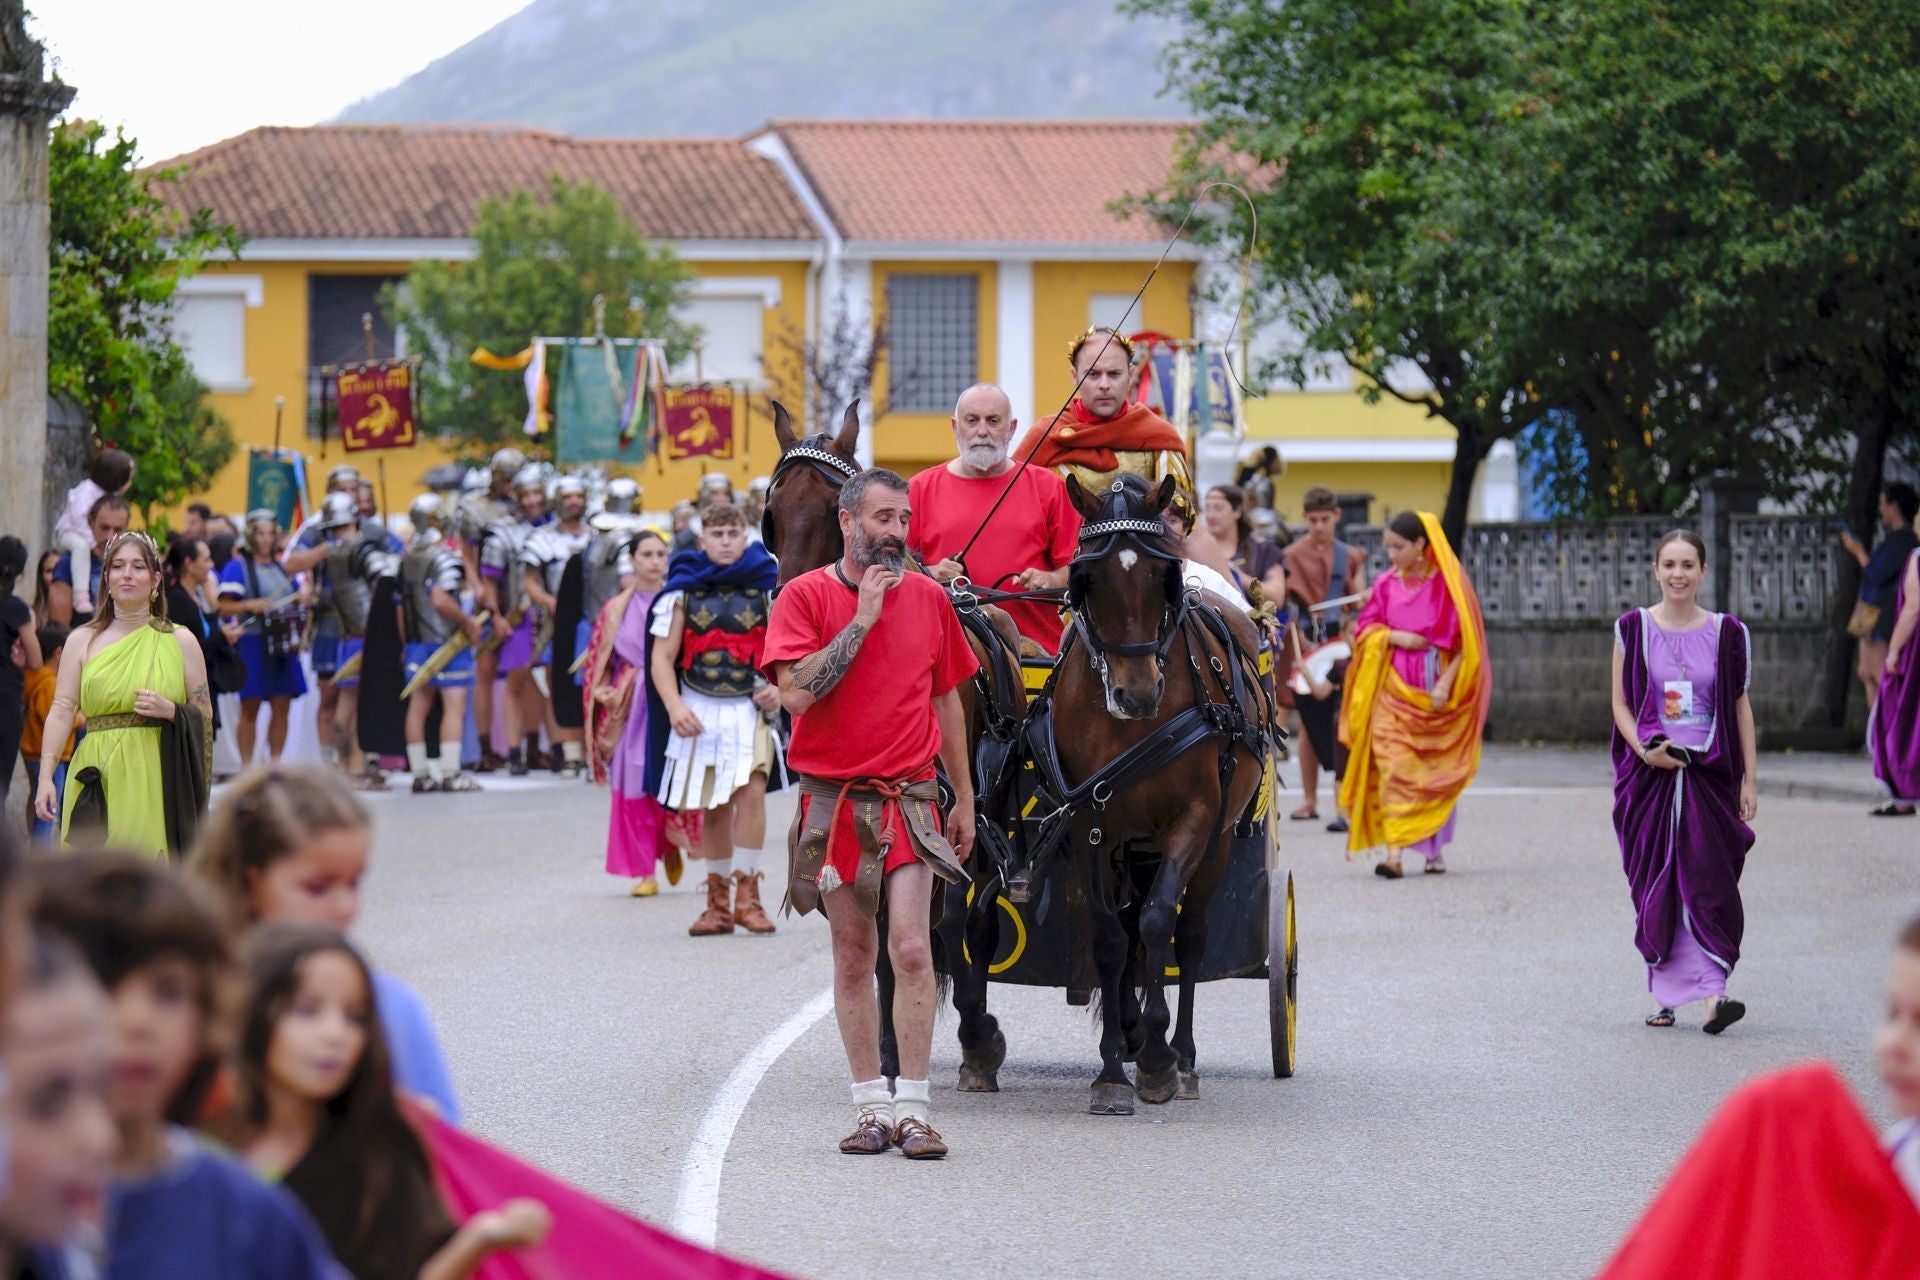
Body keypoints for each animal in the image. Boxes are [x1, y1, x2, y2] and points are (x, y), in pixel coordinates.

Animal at [1036, 470, 1274, 1113]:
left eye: (1158, 575)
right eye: (1087, 579)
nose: (1137, 694)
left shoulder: (1194, 818)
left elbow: (1157, 921)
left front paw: (1157, 1057)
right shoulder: (1089, 827)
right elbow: (1110, 937)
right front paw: (1113, 1069)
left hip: (1218, 839)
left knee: (1188, 936)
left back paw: (1181, 1055)